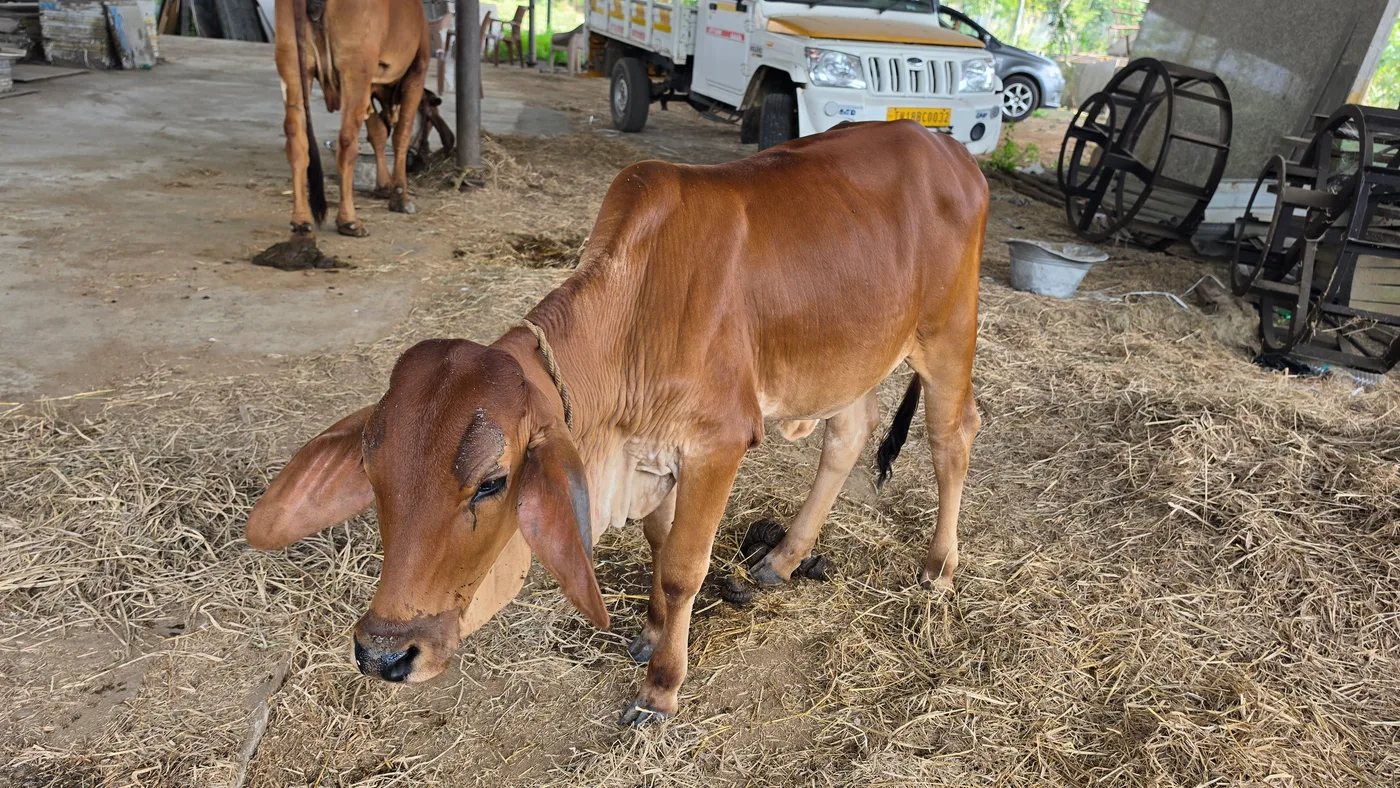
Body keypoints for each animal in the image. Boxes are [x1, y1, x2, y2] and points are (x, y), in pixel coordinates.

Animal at [245, 120, 987, 725]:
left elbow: (684, 567)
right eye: (372, 473)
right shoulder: (650, 453)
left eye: (492, 483)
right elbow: (658, 545)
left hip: (947, 336)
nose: (383, 653)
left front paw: (662, 687)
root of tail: (951, 152)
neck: (635, 318)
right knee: (848, 434)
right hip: (849, 355)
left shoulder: (717, 443)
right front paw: (652, 631)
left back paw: (939, 569)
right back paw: (782, 557)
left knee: (953, 437)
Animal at [272, 0, 429, 254]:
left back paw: (302, 223)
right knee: (346, 142)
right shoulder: (417, 71)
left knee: (296, 137)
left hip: (292, 63)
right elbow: (400, 136)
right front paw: (400, 197)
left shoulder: (371, 87)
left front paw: (383, 184)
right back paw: (349, 221)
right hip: (355, 70)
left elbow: (377, 132)